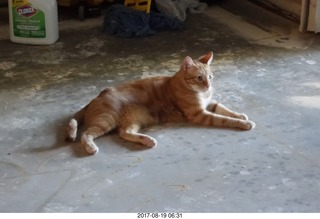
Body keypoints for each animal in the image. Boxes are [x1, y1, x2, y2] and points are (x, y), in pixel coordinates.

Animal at [65, 51, 255, 155]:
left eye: (210, 77)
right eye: (199, 78)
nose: (208, 86)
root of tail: (98, 95)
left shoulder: (209, 104)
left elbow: (225, 109)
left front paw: (240, 115)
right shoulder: (199, 114)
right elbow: (225, 119)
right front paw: (243, 123)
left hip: (134, 121)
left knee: (124, 133)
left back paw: (147, 140)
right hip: (107, 119)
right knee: (85, 134)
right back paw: (90, 147)